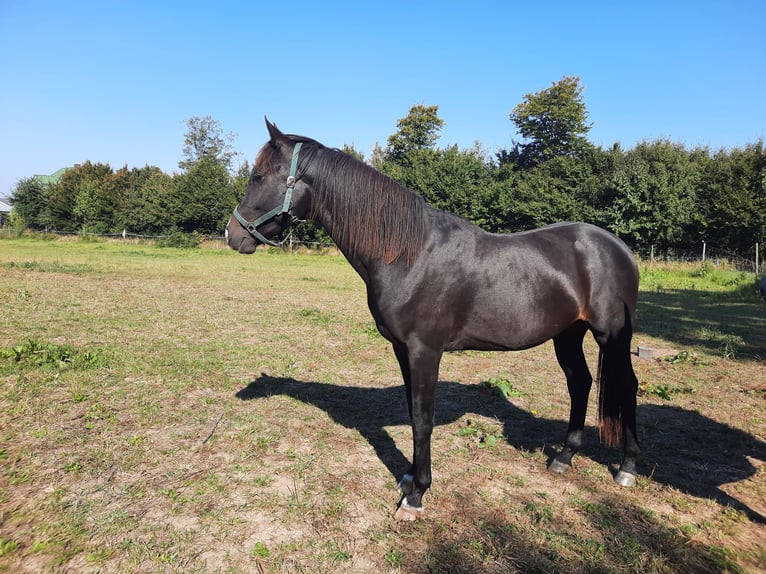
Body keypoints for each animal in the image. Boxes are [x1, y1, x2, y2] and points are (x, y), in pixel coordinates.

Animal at [226, 119, 641, 520]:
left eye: (258, 176)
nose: (233, 235)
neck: (406, 254)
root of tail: (619, 247)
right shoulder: (402, 349)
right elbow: (413, 414)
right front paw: (409, 478)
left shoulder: (425, 351)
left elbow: (424, 419)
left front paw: (416, 496)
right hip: (568, 334)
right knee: (580, 383)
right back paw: (564, 457)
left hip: (611, 336)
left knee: (626, 386)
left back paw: (627, 467)